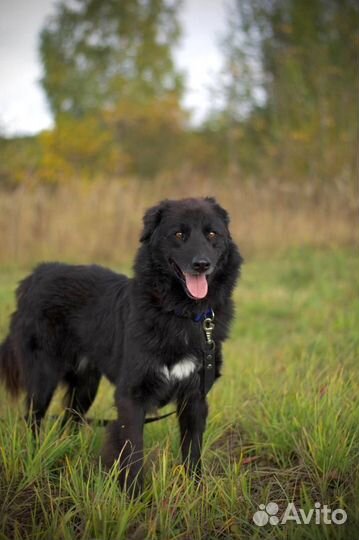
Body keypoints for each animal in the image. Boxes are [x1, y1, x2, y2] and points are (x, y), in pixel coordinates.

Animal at [0, 196, 243, 492]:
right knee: (33, 419)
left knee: (69, 420)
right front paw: (135, 496)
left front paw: (195, 490)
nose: (201, 264)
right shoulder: (131, 396)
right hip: (43, 378)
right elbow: (133, 451)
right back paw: (35, 455)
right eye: (178, 234)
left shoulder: (195, 396)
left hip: (86, 385)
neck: (179, 313)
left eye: (212, 234)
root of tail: (36, 274)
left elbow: (192, 450)